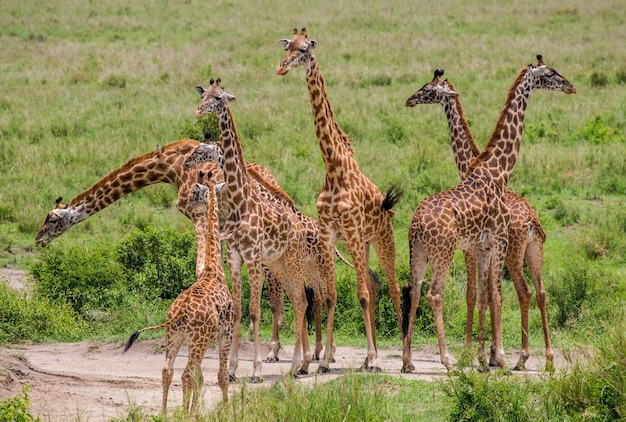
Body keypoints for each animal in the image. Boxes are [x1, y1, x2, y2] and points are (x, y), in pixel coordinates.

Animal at [121, 170, 232, 414]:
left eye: (197, 193)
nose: (189, 203)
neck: (214, 269)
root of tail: (179, 313)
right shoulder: (226, 332)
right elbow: (221, 376)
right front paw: (227, 410)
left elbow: (202, 377)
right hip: (197, 340)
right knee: (187, 373)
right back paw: (186, 413)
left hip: (174, 337)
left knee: (168, 370)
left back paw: (165, 413)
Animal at [276, 27, 402, 372]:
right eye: (286, 46)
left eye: (304, 50)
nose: (281, 68)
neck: (332, 166)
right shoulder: (329, 233)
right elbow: (332, 295)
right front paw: (325, 360)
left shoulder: (353, 231)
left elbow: (361, 295)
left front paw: (371, 358)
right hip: (361, 244)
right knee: (373, 285)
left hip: (380, 239)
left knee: (394, 289)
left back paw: (404, 356)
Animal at [402, 56, 572, 372]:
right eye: (550, 74)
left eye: (428, 89)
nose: (570, 86)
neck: (494, 172)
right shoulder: (488, 246)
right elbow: (487, 296)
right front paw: (491, 356)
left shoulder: (482, 248)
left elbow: (485, 296)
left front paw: (483, 356)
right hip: (451, 252)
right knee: (436, 294)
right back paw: (452, 359)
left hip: (423, 251)